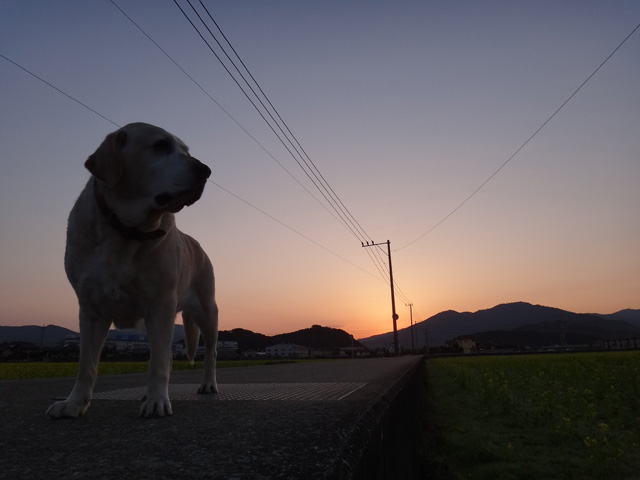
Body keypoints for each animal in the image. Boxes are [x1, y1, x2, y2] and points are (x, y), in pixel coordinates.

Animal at [46, 122, 219, 418]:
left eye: (186, 151)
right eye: (160, 145)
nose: (205, 169)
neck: (125, 230)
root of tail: (197, 244)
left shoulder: (160, 304)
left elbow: (157, 364)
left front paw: (157, 400)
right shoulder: (90, 310)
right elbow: (86, 366)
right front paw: (74, 402)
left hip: (207, 312)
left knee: (208, 352)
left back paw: (207, 384)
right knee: (167, 355)